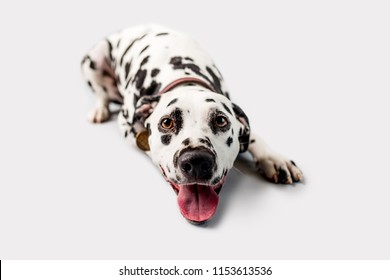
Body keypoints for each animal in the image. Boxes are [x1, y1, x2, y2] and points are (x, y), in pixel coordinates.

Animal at [81, 24, 302, 225]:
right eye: (167, 122)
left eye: (221, 120)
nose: (196, 161)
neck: (180, 75)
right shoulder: (127, 124)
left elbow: (254, 135)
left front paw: (273, 158)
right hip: (94, 59)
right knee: (101, 94)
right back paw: (99, 110)